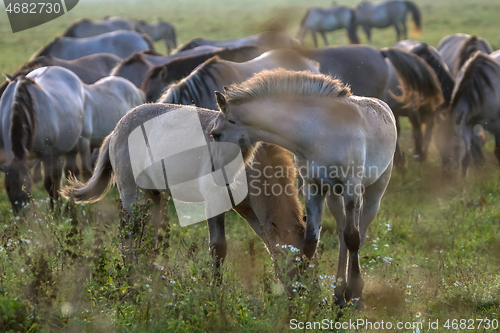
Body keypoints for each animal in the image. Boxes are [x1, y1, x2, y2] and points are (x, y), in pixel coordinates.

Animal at [0, 66, 88, 211]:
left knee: (70, 173)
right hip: (57, 151)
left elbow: (49, 184)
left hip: (72, 146)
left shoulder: (46, 154)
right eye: (7, 189)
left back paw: (68, 208)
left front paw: (55, 212)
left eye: (27, 187)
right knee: (58, 176)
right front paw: (56, 208)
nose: (22, 215)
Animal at [60, 104, 306, 296]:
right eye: (291, 260)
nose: (300, 293)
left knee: (148, 238)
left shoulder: (250, 211)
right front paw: (216, 292)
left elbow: (266, 239)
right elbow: (218, 247)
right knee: (128, 237)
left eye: (307, 262)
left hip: (155, 197)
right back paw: (132, 280)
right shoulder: (214, 200)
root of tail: (115, 130)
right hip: (133, 196)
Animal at [211, 68, 398, 310]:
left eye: (215, 134)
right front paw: (306, 292)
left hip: (374, 191)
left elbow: (353, 238)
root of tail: (384, 106)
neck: (318, 132)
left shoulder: (351, 187)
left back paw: (349, 293)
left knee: (360, 233)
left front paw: (355, 295)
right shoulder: (313, 188)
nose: (214, 171)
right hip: (334, 196)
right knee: (341, 233)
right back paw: (338, 294)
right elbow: (311, 242)